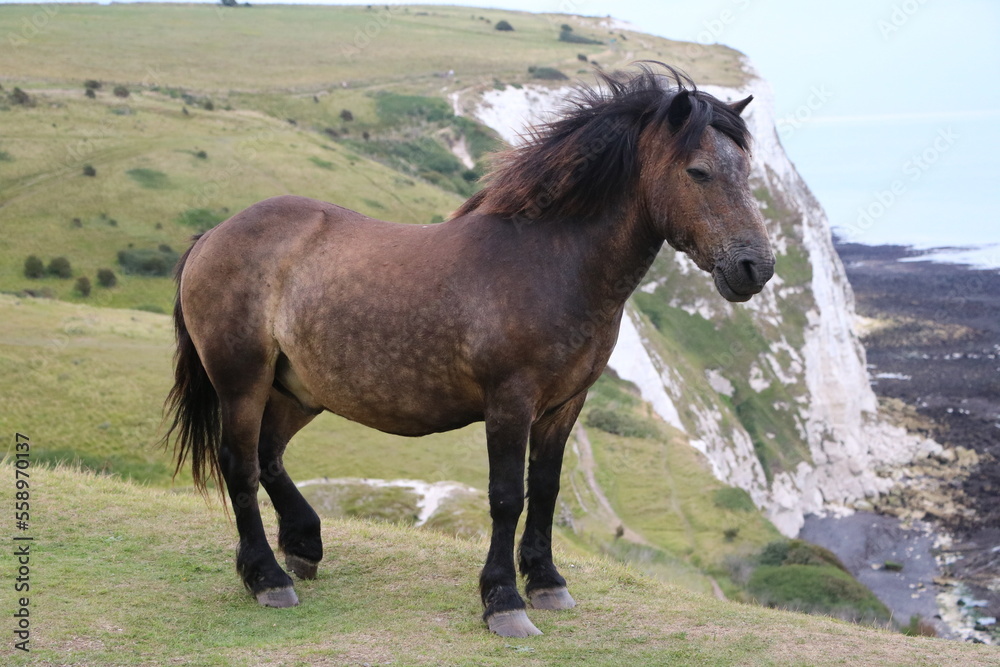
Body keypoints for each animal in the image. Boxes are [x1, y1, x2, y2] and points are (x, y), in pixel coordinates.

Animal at [163, 62, 774, 638]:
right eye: (698, 171)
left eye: (745, 171)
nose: (755, 267)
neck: (551, 263)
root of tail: (212, 235)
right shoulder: (510, 401)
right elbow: (507, 496)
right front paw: (503, 602)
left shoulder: (565, 405)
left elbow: (546, 489)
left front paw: (547, 583)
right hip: (243, 383)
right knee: (240, 465)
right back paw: (267, 577)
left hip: (298, 391)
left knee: (269, 456)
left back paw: (304, 545)